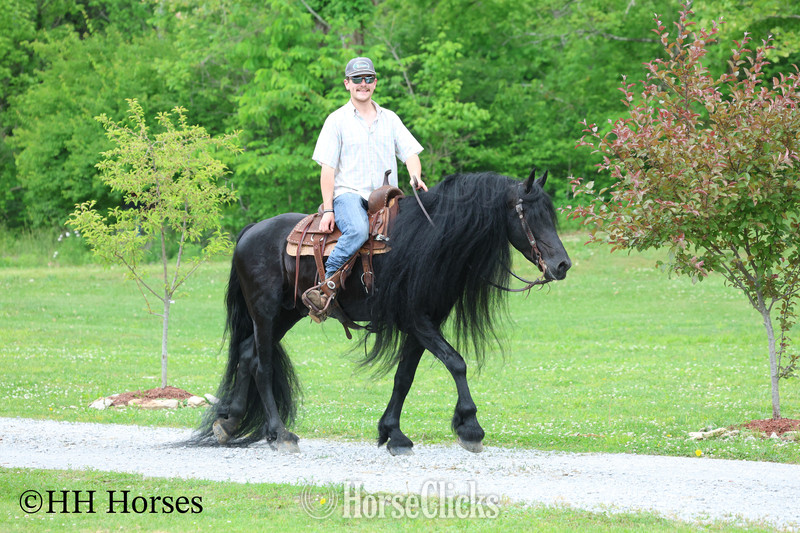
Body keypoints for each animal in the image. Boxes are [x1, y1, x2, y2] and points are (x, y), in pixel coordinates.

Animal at [193, 168, 571, 455]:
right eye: (529, 215)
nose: (562, 264)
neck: (429, 242)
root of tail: (250, 232)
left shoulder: (423, 323)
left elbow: (404, 377)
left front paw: (394, 433)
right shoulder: (417, 320)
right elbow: (456, 363)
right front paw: (470, 427)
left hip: (287, 314)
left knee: (247, 354)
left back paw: (229, 424)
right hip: (266, 312)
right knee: (263, 365)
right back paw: (280, 434)